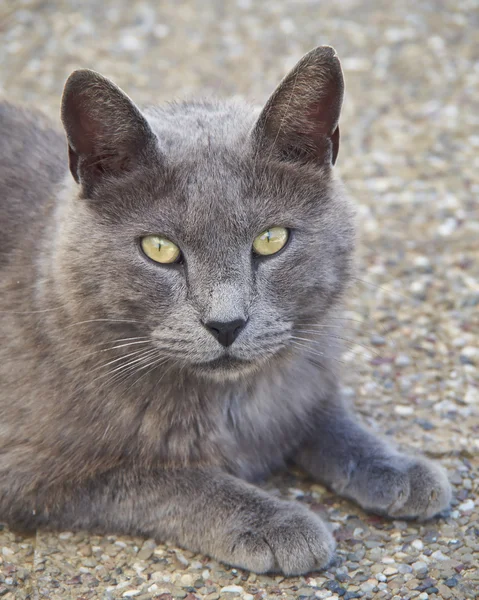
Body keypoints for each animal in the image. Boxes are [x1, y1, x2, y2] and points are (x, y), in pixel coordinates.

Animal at [0, 48, 450, 576]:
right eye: (159, 249)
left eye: (271, 239)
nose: (226, 324)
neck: (230, 402)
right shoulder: (29, 470)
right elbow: (165, 478)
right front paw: (275, 522)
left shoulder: (305, 369)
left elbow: (324, 413)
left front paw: (397, 467)